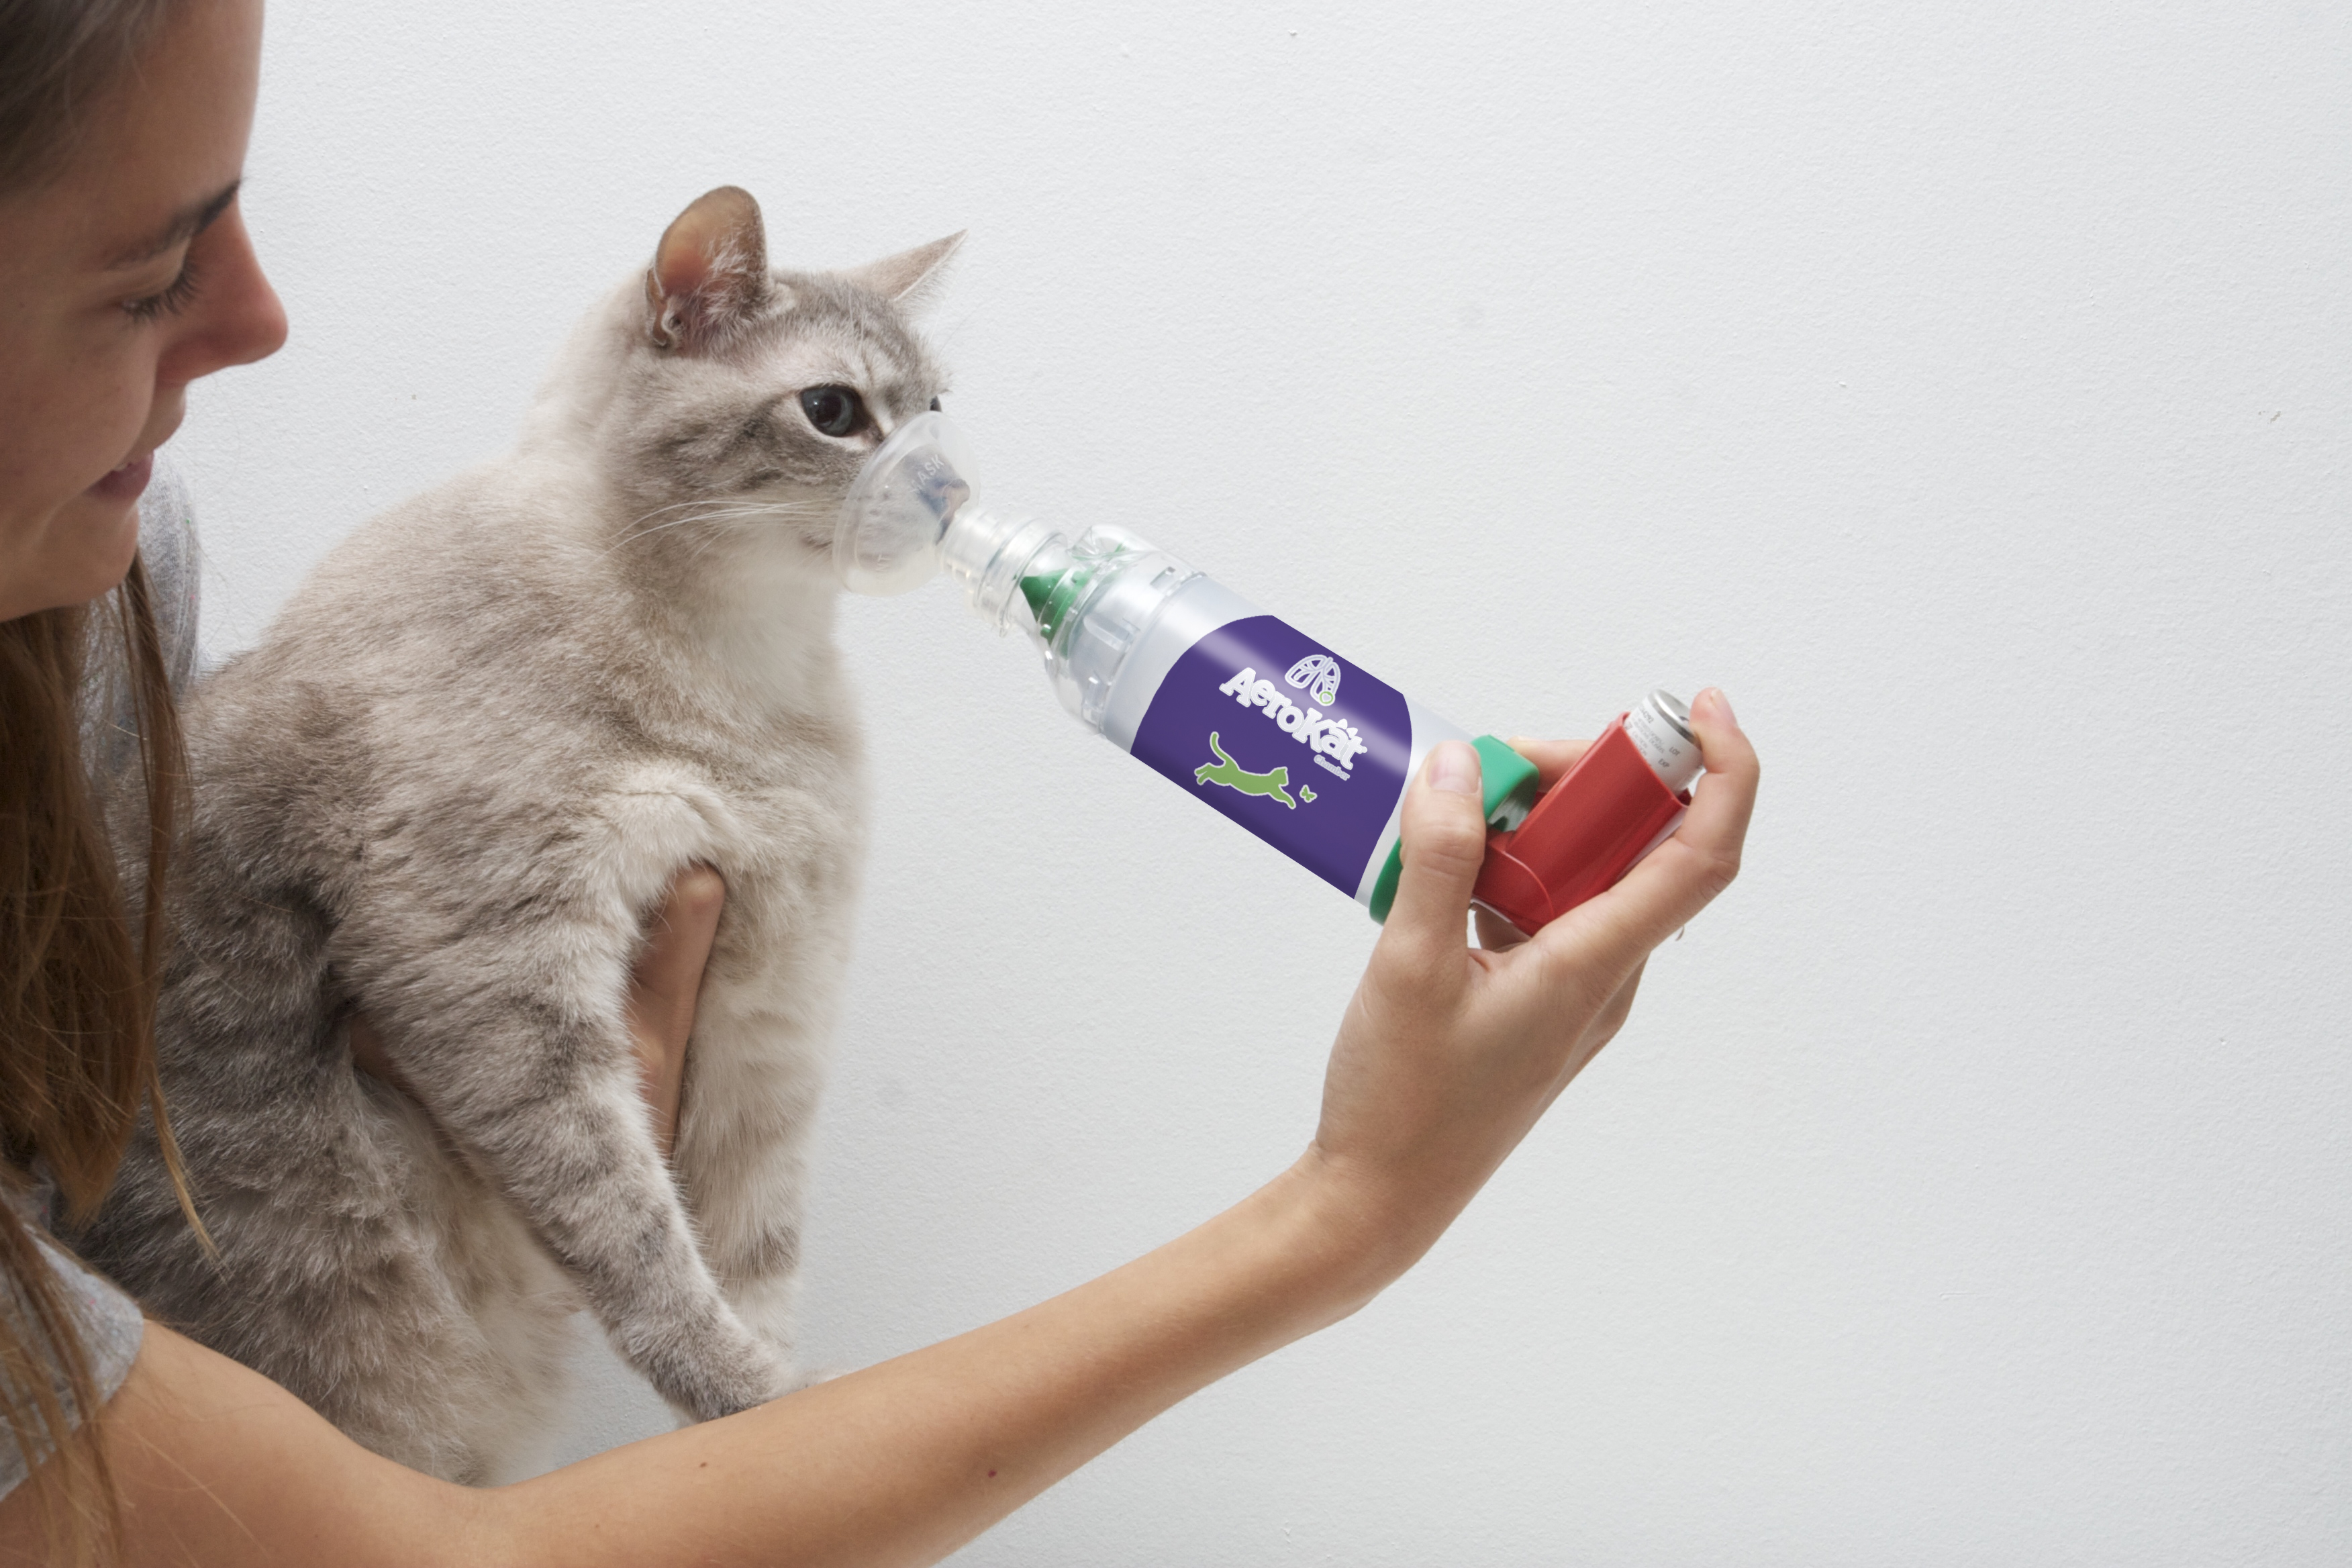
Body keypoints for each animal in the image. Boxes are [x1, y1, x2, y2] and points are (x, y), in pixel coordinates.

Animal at [76, 184, 954, 1485]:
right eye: (835, 412)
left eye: (938, 411)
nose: (950, 493)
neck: (743, 671)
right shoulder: (490, 959)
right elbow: (635, 1232)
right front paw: (750, 1400)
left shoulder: (770, 1025)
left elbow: (754, 1254)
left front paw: (787, 1408)